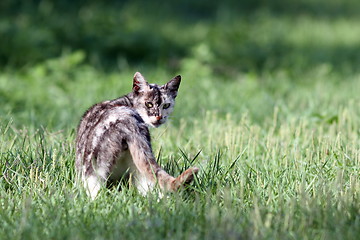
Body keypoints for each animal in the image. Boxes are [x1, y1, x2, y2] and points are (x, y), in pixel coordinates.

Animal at [75, 72, 198, 200]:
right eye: (149, 104)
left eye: (166, 105)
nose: (159, 117)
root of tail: (127, 120)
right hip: (139, 169)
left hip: (94, 171)